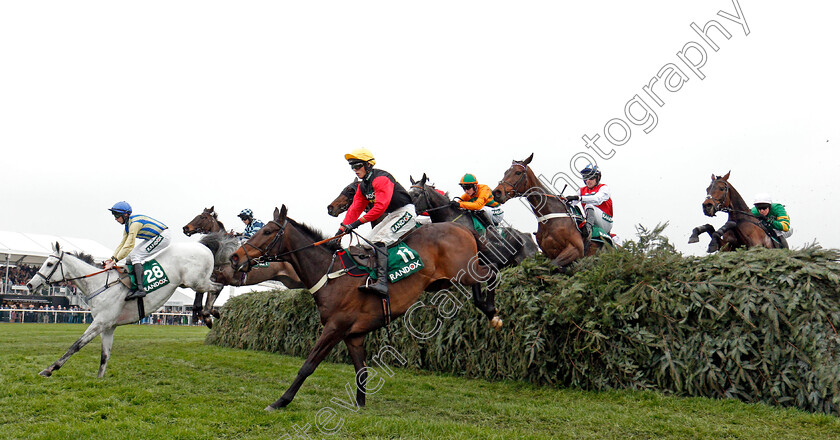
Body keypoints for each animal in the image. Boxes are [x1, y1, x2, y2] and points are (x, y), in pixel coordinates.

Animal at [27, 242, 220, 376]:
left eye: (49, 264)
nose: (29, 285)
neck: (99, 283)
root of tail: (205, 247)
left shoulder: (100, 322)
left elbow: (76, 345)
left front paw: (49, 369)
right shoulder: (108, 326)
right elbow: (104, 355)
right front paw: (99, 379)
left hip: (195, 281)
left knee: (217, 287)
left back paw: (208, 314)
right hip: (193, 282)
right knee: (213, 288)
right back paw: (208, 312)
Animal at [230, 205, 498, 410]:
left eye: (266, 231)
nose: (234, 257)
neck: (330, 274)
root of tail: (461, 227)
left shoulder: (335, 327)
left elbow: (308, 366)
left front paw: (281, 401)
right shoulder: (353, 334)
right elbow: (361, 370)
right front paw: (359, 404)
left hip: (462, 270)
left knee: (493, 271)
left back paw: (494, 312)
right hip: (449, 279)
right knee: (480, 280)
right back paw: (486, 307)